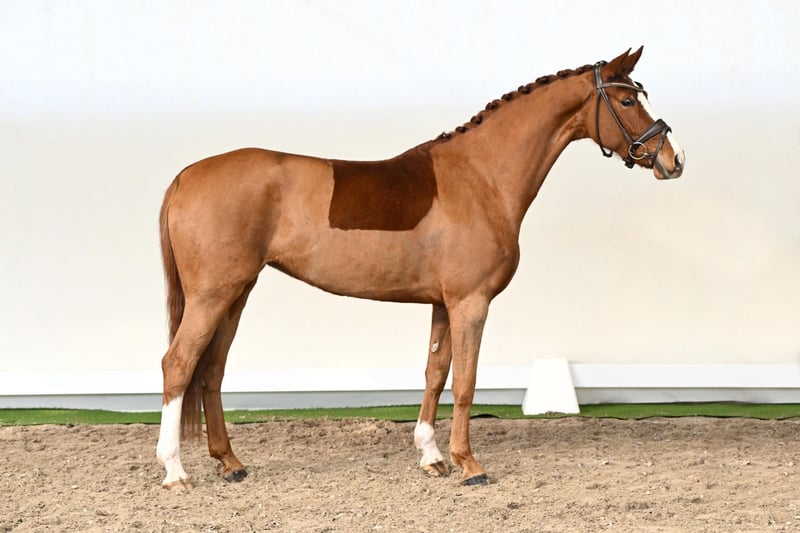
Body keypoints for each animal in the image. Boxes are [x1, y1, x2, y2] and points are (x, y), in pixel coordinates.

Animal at [155, 47, 685, 490]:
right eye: (626, 99)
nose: (672, 160)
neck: (481, 176)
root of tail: (185, 176)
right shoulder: (471, 303)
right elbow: (466, 382)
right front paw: (470, 465)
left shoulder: (442, 304)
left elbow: (435, 372)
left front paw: (432, 456)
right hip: (212, 296)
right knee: (178, 365)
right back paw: (175, 472)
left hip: (236, 293)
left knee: (212, 369)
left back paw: (230, 462)